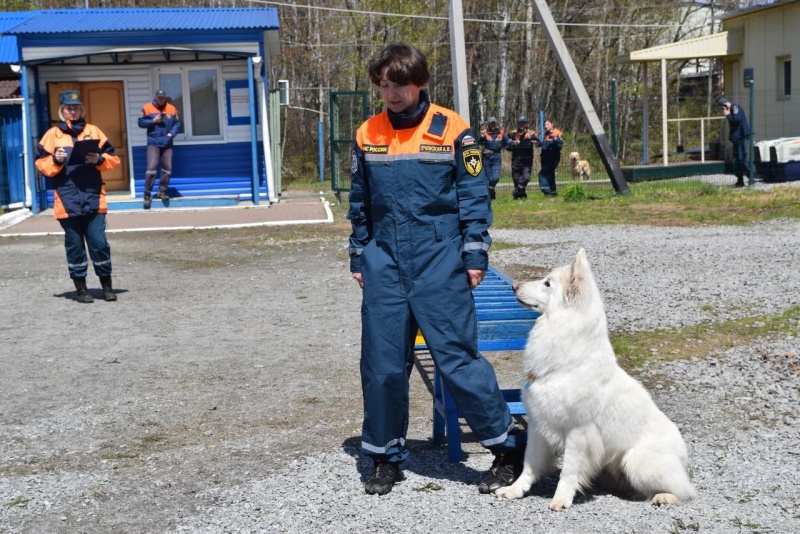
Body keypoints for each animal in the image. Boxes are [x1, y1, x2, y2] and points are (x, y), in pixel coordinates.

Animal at [496, 249, 696, 512]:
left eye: (547, 283)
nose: (514, 286)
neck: (567, 364)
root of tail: (684, 455)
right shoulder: (539, 425)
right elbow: (530, 464)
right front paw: (516, 489)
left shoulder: (578, 433)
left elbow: (568, 472)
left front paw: (561, 500)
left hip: (636, 460)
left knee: (685, 491)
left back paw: (664, 497)